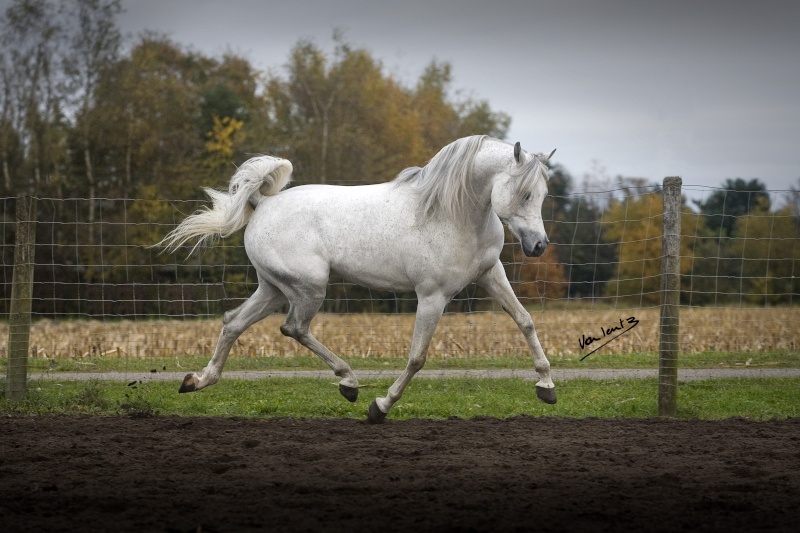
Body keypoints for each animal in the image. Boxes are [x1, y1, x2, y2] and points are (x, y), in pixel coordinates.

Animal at [156, 135, 556, 422]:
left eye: (543, 195)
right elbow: (417, 357)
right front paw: (380, 406)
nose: (538, 245)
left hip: (273, 288)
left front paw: (547, 386)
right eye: (524, 193)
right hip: (308, 288)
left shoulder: (490, 275)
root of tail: (263, 204)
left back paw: (198, 381)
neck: (452, 213)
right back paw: (349, 382)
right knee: (293, 328)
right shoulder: (432, 296)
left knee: (233, 322)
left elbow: (525, 321)